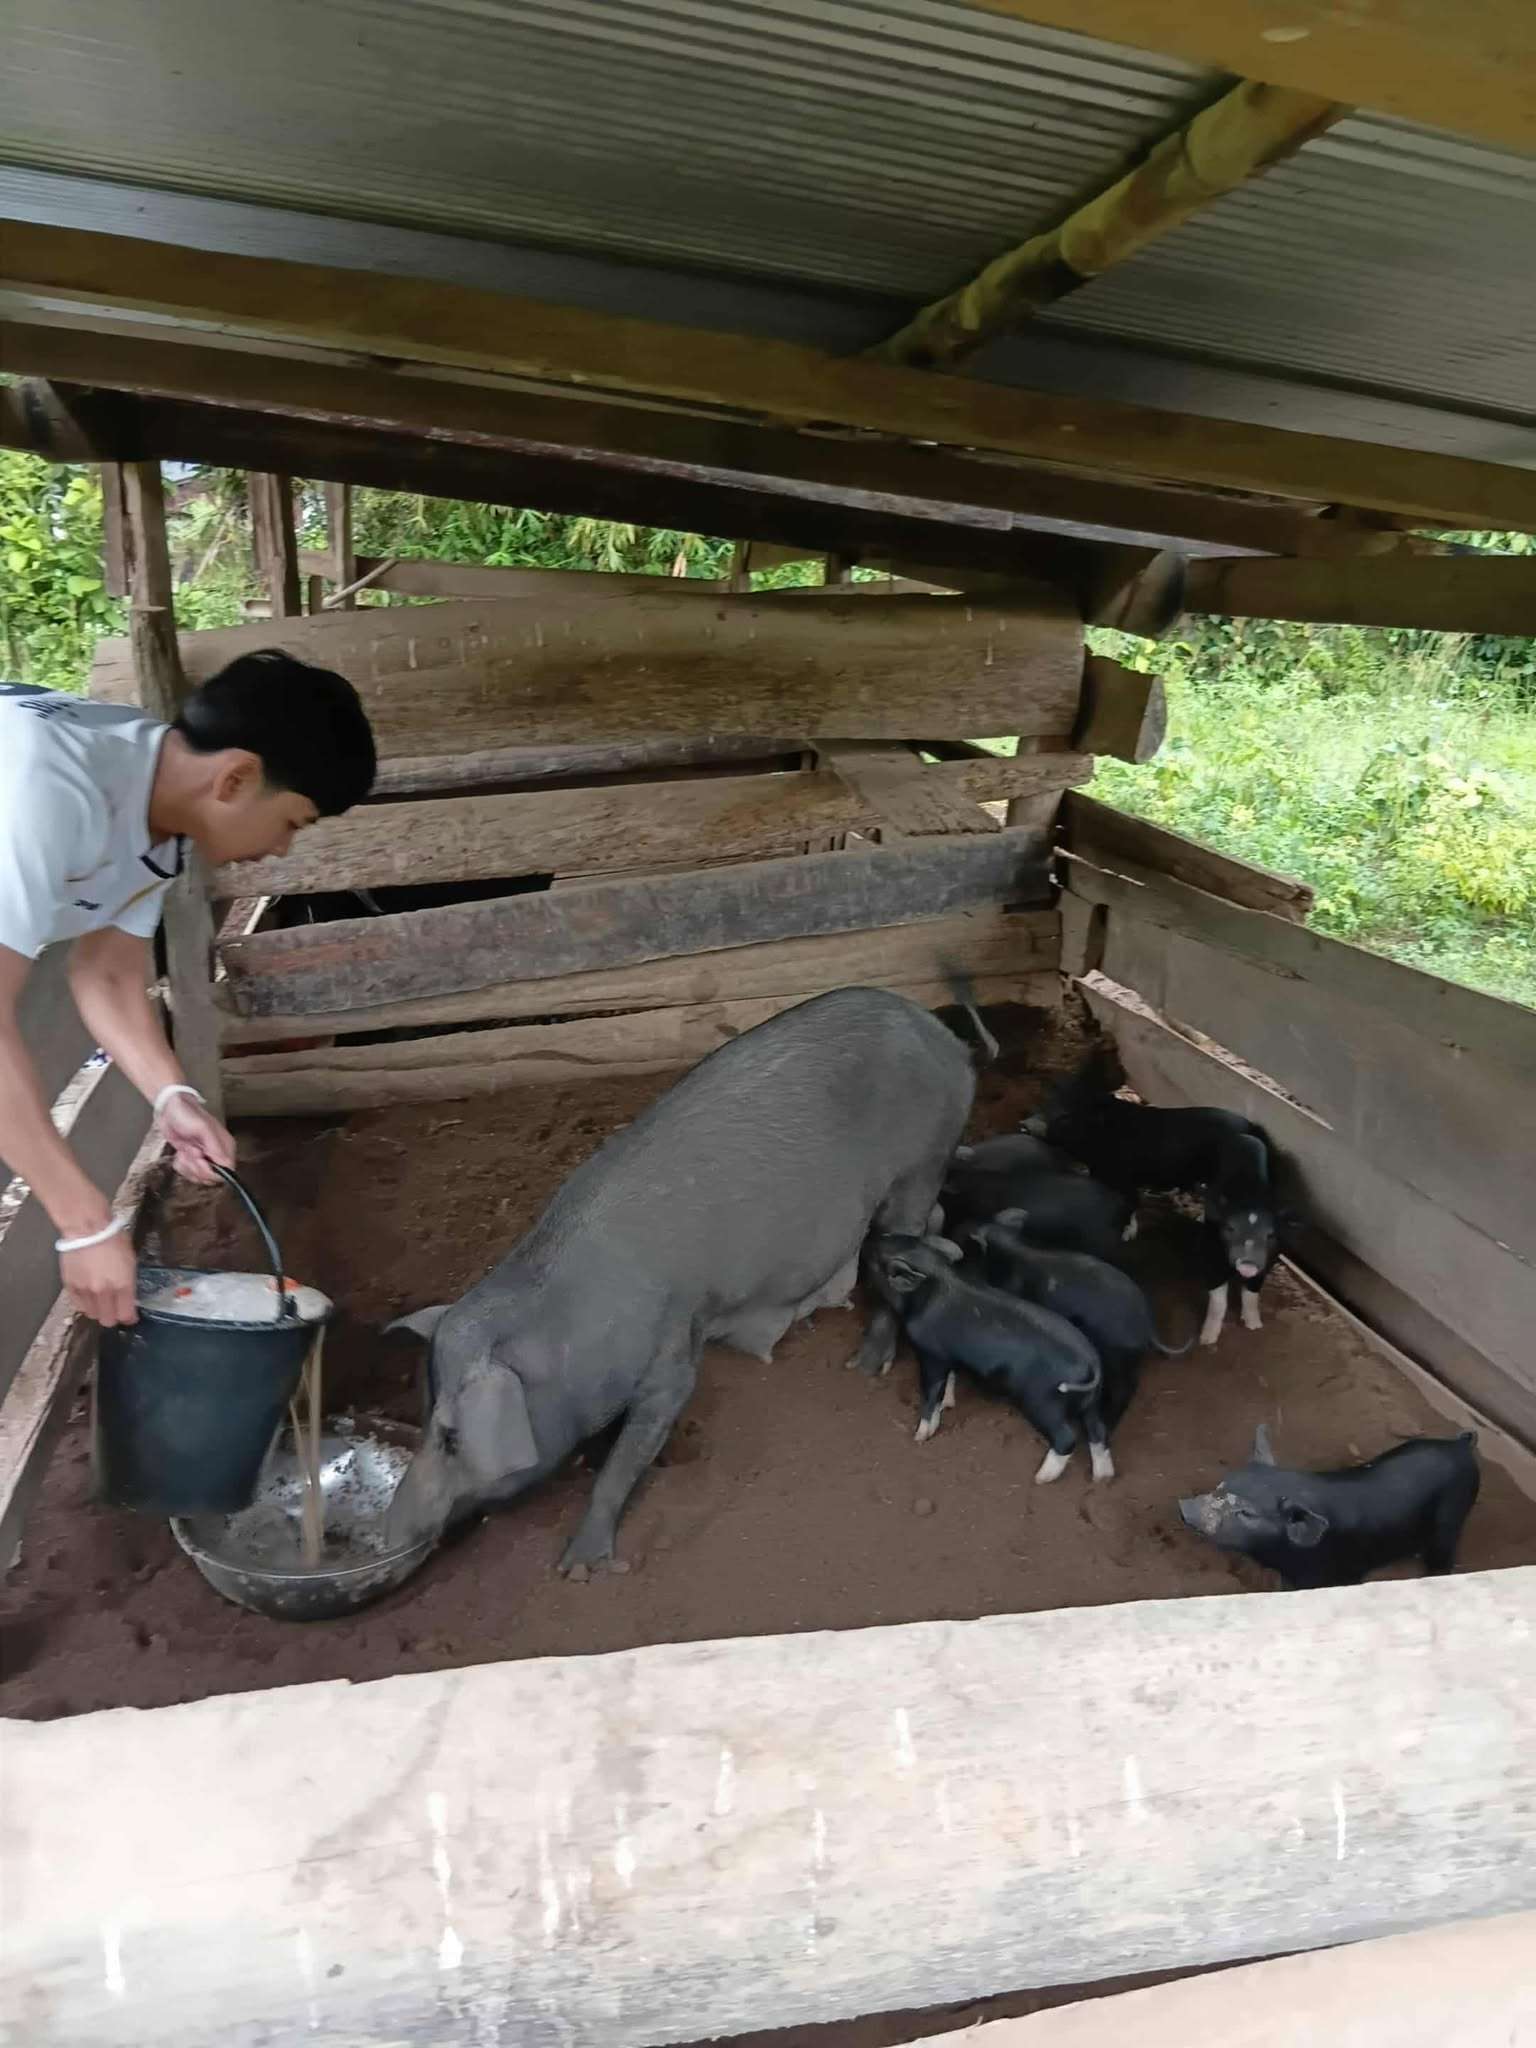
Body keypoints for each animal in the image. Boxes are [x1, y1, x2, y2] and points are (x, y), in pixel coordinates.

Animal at [383, 987, 982, 1574]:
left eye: (452, 1439)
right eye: (424, 1413)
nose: (391, 1532)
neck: (570, 1341)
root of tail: (940, 1034)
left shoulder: (671, 1347)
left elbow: (632, 1450)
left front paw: (578, 1567)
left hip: (920, 1164)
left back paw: (864, 1367)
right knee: (932, 1226)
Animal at [864, 1234, 1113, 1483]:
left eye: (877, 1257)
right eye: (891, 1238)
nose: (870, 1239)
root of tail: (1093, 1365)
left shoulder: (931, 1355)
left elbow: (931, 1392)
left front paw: (920, 1437)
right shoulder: (949, 1357)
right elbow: (950, 1381)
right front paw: (948, 1404)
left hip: (1044, 1403)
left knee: (1066, 1439)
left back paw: (1040, 1478)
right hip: (1092, 1403)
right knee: (1098, 1431)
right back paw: (1102, 1477)